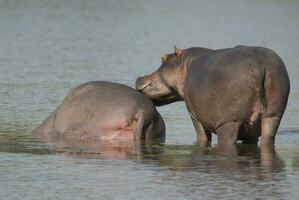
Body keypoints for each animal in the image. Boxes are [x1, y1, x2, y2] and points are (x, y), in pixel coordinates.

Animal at [136, 45, 290, 147]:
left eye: (163, 58)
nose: (139, 77)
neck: (185, 63)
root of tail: (259, 65)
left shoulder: (193, 114)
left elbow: (202, 136)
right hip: (273, 115)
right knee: (268, 136)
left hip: (228, 122)